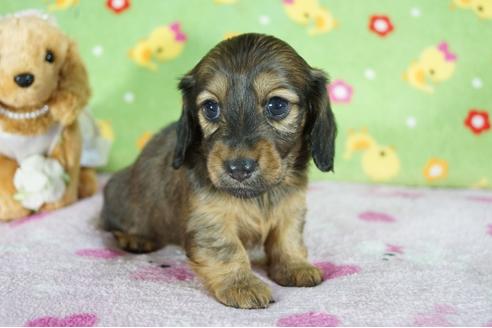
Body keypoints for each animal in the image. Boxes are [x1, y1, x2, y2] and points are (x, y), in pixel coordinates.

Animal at [101, 32, 336, 308]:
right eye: (211, 108)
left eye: (277, 105)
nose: (238, 168)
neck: (259, 196)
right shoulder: (208, 218)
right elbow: (227, 249)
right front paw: (241, 285)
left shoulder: (291, 207)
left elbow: (288, 238)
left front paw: (295, 266)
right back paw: (135, 238)